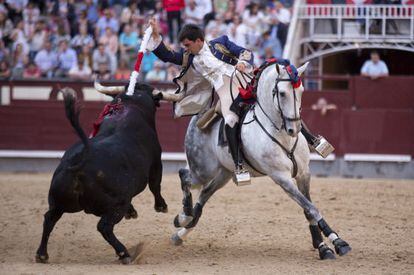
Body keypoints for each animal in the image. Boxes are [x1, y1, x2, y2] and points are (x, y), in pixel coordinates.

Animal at [36, 84, 168, 266]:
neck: (131, 104)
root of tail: (79, 161)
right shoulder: (156, 163)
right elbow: (155, 186)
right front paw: (161, 206)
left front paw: (132, 212)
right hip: (116, 204)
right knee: (104, 227)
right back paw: (124, 253)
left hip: (59, 201)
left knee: (49, 218)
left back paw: (42, 254)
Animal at [170, 61, 350, 260]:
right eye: (282, 93)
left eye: (302, 90)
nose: (294, 129)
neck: (282, 136)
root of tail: (198, 117)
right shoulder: (281, 178)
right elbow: (311, 208)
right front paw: (337, 243)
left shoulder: (304, 174)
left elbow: (308, 208)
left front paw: (324, 246)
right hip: (203, 169)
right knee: (184, 175)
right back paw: (183, 217)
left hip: (224, 173)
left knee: (204, 193)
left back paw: (181, 231)